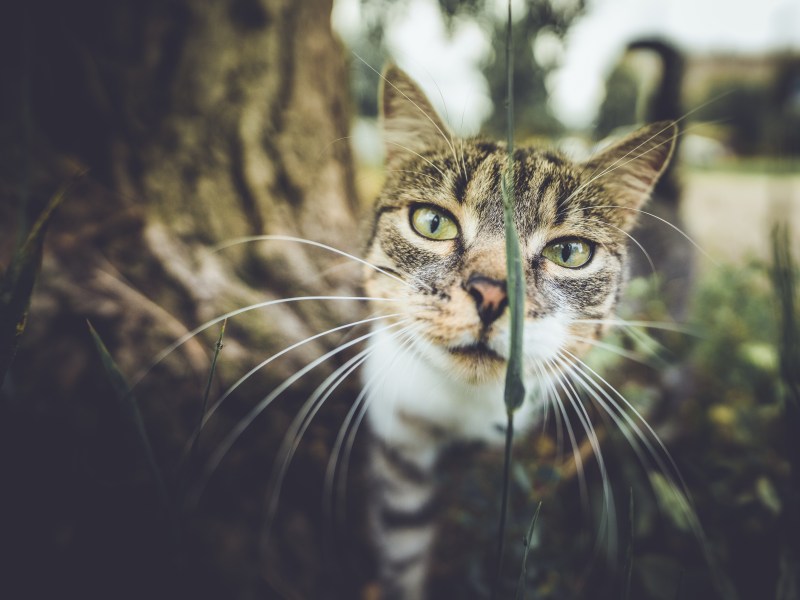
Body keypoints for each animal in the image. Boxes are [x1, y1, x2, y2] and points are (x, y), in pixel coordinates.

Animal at [360, 65, 680, 600]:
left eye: (569, 252)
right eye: (432, 222)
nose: (491, 294)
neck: (461, 405)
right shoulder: (400, 442)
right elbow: (403, 548)